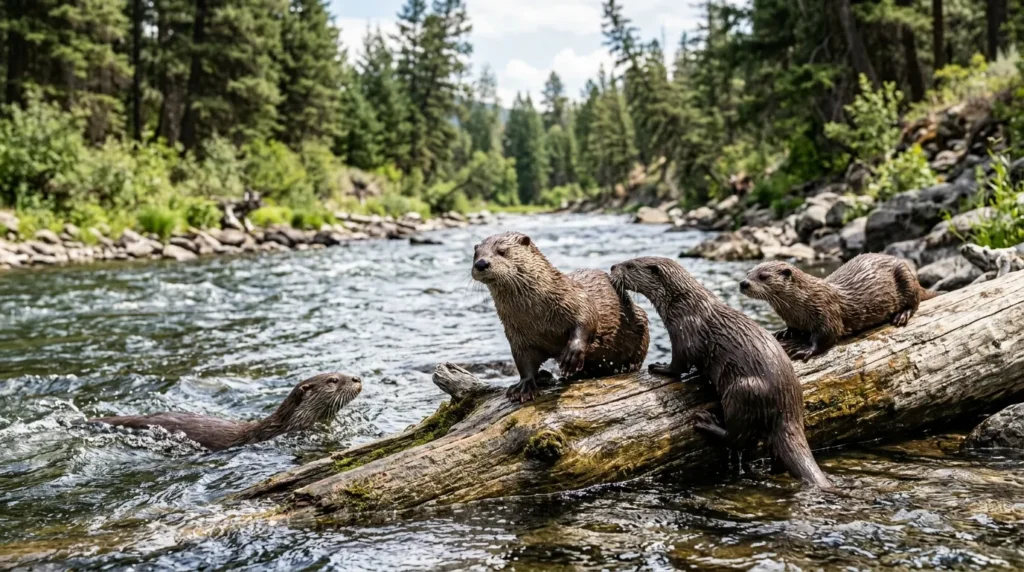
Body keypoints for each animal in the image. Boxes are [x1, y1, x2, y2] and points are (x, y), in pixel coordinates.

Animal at [472, 232, 650, 402]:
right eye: (476, 254)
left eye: (502, 251)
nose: (481, 264)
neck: (538, 317)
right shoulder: (517, 335)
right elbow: (523, 361)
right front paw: (523, 386)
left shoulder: (576, 299)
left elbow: (587, 320)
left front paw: (571, 354)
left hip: (639, 318)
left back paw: (629, 367)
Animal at [610, 256, 831, 489]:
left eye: (630, 265)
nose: (612, 267)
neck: (683, 305)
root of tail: (788, 408)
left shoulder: (684, 333)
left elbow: (678, 365)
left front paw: (659, 367)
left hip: (743, 391)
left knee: (737, 437)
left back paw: (707, 423)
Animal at [740, 254, 939, 361]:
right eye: (748, 273)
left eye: (763, 276)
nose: (743, 283)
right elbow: (793, 329)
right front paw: (784, 332)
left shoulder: (827, 310)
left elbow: (827, 335)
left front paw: (805, 349)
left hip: (904, 276)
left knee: (915, 301)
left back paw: (901, 315)